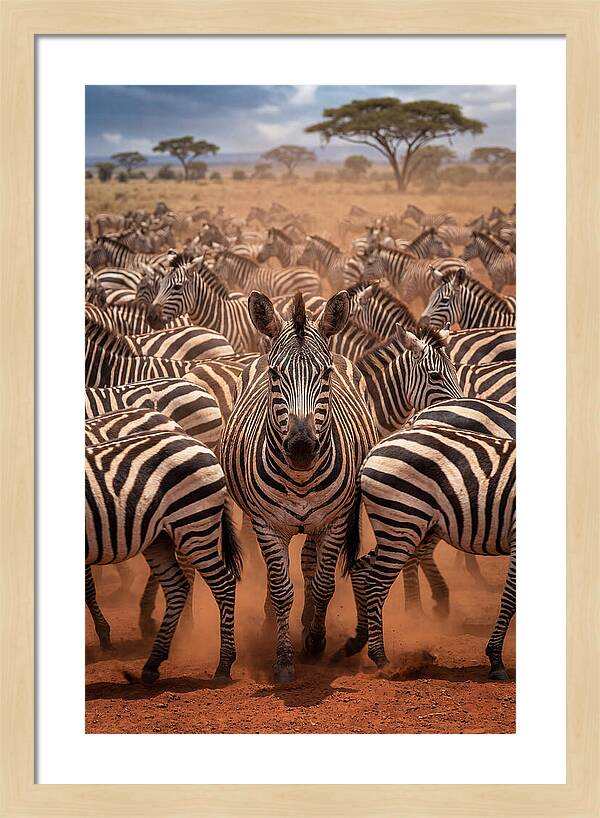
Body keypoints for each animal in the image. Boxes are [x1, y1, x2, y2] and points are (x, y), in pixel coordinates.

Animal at [86, 428, 242, 683]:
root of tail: (200, 444)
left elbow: (88, 589)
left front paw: (105, 637)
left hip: (193, 524)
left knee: (223, 583)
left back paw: (224, 666)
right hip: (160, 537)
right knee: (177, 586)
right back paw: (153, 662)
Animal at [221, 290, 378, 682]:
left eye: (325, 374)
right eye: (276, 374)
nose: (302, 448)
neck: (302, 478)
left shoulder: (336, 521)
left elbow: (323, 583)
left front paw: (315, 640)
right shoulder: (266, 524)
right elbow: (280, 589)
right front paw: (283, 658)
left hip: (321, 522)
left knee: (309, 560)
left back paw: (308, 622)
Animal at [343, 425, 516, 680]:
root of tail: (373, 450)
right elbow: (510, 598)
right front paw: (495, 660)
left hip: (399, 527)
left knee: (360, 570)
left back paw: (357, 640)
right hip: (402, 521)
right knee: (375, 583)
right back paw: (381, 659)